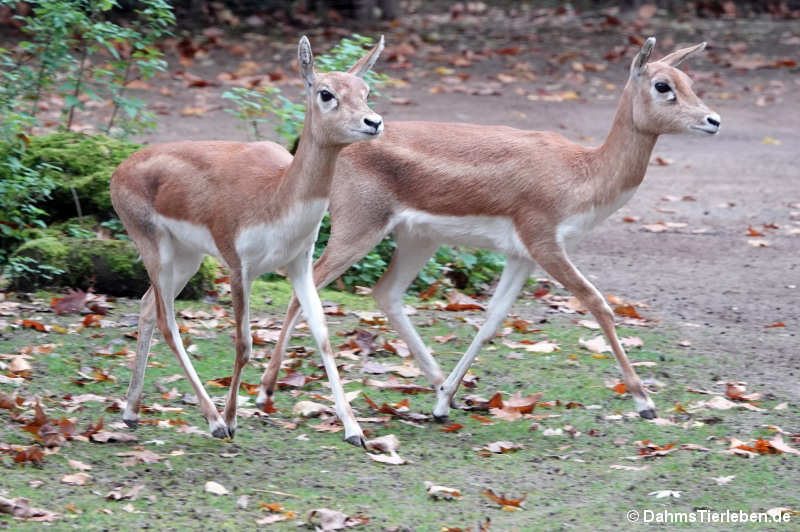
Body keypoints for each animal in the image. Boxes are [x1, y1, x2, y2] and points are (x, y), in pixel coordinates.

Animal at [111, 34, 384, 444]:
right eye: (326, 93)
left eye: (366, 91)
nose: (374, 122)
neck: (275, 196)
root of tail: (119, 170)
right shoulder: (239, 267)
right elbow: (243, 345)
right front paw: (232, 420)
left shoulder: (299, 264)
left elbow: (322, 336)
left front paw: (354, 431)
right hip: (154, 247)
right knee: (166, 321)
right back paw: (213, 422)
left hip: (187, 257)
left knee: (146, 307)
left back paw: (131, 412)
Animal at [256, 36, 720, 420]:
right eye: (662, 85)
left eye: (690, 80)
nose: (713, 120)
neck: (581, 174)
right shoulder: (545, 241)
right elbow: (597, 302)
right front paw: (645, 401)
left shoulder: (521, 255)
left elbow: (493, 319)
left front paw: (445, 402)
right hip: (359, 227)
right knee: (307, 287)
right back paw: (266, 392)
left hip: (418, 239)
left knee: (385, 292)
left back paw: (439, 386)